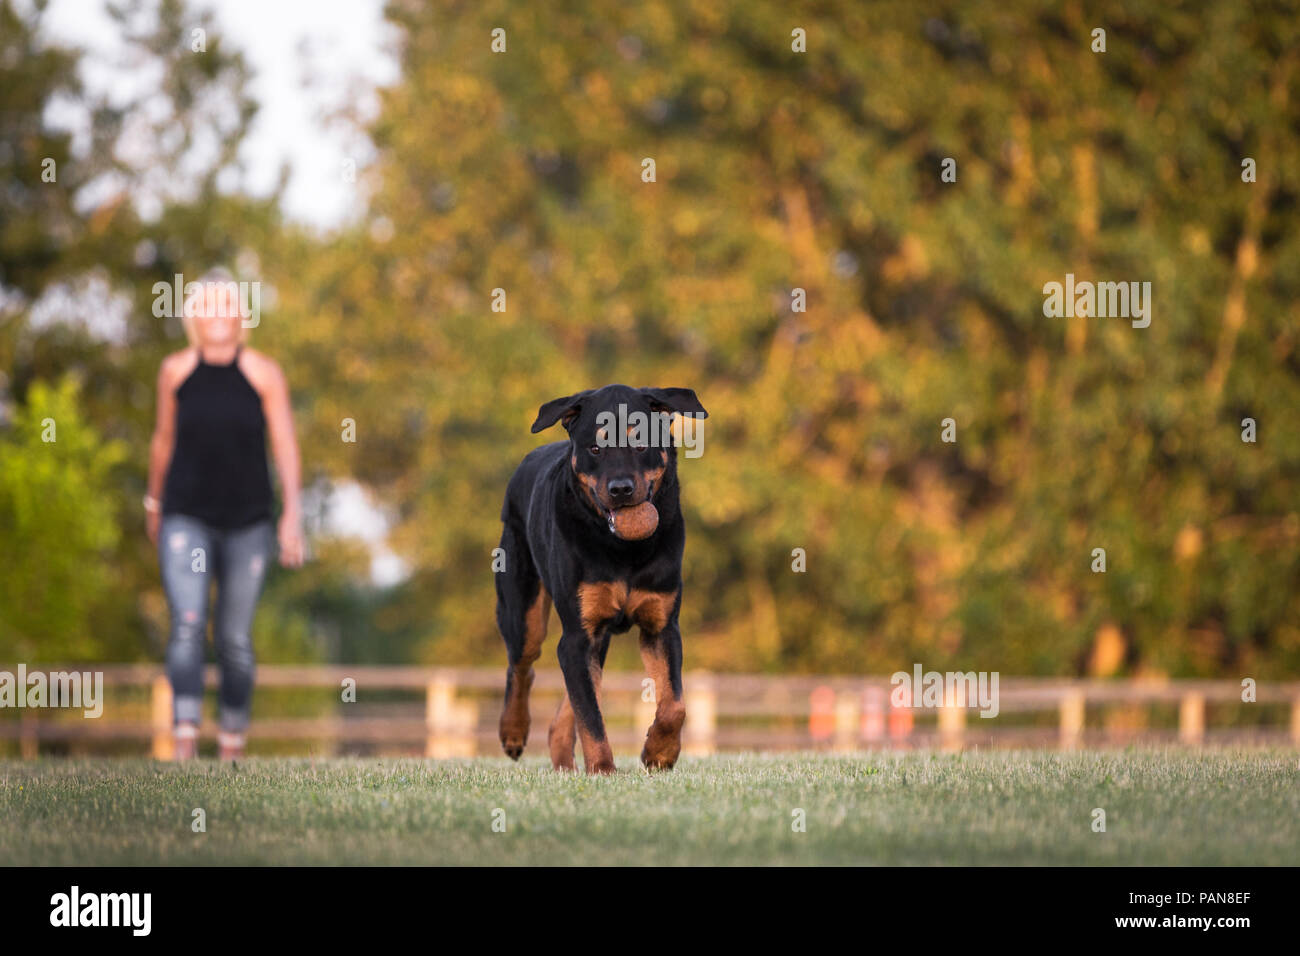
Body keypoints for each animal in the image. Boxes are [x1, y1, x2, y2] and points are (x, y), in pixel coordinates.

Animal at [493, 385, 702, 775]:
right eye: (594, 449)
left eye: (641, 443)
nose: (620, 488)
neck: (623, 550)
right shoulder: (578, 634)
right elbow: (590, 715)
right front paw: (604, 769)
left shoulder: (661, 626)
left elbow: (674, 703)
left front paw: (659, 753)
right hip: (522, 607)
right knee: (522, 665)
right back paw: (513, 733)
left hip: (598, 635)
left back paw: (561, 757)